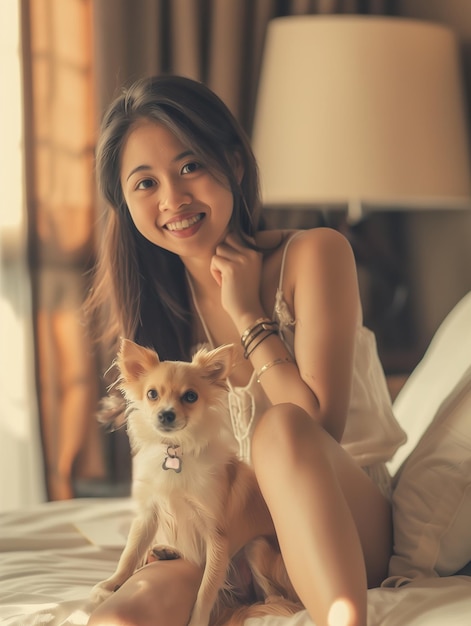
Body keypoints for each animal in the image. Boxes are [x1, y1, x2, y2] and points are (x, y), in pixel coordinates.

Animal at [90, 338, 300, 620]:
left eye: (191, 396)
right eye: (152, 394)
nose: (166, 414)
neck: (176, 448)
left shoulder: (217, 537)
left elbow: (206, 590)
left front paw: (198, 619)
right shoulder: (147, 515)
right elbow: (130, 552)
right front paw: (111, 583)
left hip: (256, 549)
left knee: (276, 597)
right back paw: (164, 551)